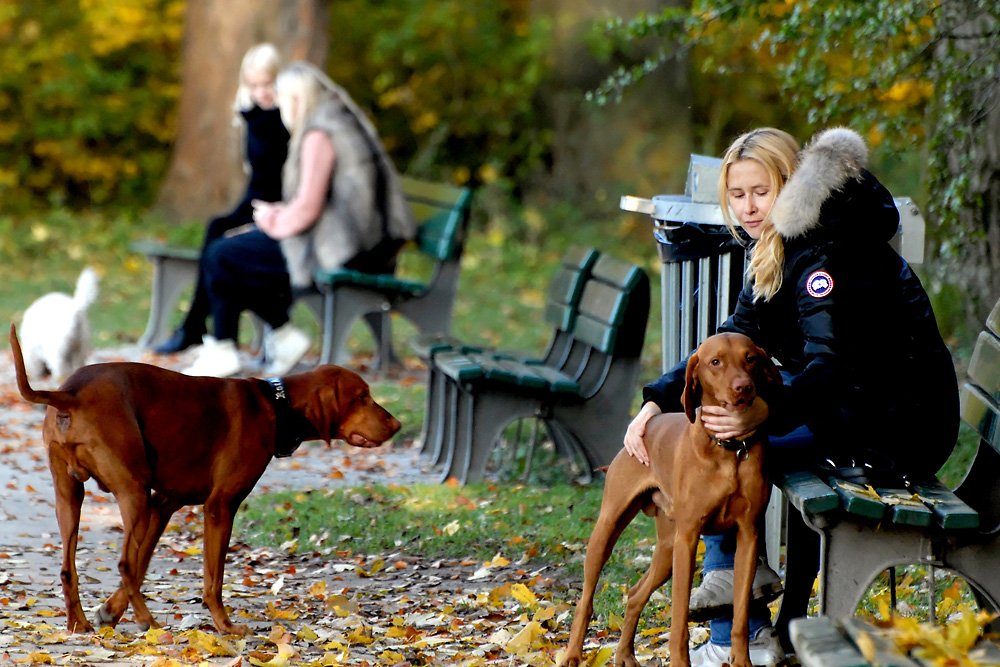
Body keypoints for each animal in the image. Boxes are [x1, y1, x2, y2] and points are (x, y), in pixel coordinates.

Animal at [10, 324, 402, 636]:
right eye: (361, 397)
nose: (397, 425)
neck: (276, 404)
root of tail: (70, 392)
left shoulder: (163, 505)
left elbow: (143, 564)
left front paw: (109, 611)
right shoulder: (220, 506)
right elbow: (211, 579)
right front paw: (225, 626)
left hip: (71, 496)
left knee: (70, 568)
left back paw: (78, 623)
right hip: (133, 493)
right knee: (122, 564)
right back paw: (149, 623)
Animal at [564, 334, 780, 667]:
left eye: (751, 359)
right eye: (715, 361)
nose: (744, 387)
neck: (729, 449)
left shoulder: (748, 536)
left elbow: (741, 614)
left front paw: (742, 661)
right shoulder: (688, 539)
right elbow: (679, 619)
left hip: (666, 548)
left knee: (636, 594)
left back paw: (624, 655)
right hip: (609, 530)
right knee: (586, 597)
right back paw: (573, 653)